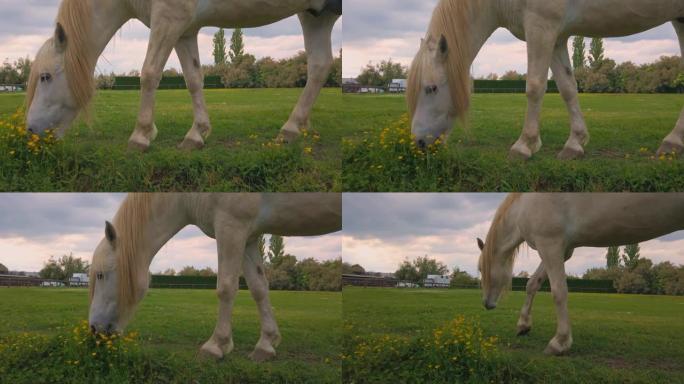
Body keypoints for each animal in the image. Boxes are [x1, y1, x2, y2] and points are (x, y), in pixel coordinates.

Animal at [26, 0, 342, 150]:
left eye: (45, 77)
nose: (30, 130)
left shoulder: (169, 20)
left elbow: (150, 73)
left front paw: (140, 135)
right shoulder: (183, 30)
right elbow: (193, 80)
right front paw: (196, 134)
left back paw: (291, 128)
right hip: (316, 15)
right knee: (319, 66)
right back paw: (294, 127)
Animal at [89, 194, 342, 362]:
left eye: (101, 275)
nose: (94, 329)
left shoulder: (231, 226)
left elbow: (226, 288)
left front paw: (216, 345)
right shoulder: (249, 237)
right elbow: (258, 287)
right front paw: (266, 344)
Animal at [408, 0, 680, 159]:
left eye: (431, 88)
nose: (418, 142)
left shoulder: (541, 26)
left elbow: (535, 87)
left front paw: (524, 145)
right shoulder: (557, 36)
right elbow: (567, 87)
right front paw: (575, 143)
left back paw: (672, 142)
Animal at [478, 194, 684, 356]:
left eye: (480, 269)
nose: (486, 304)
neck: (524, 204)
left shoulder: (550, 244)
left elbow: (558, 292)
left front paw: (559, 343)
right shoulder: (560, 249)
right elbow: (533, 284)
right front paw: (523, 326)